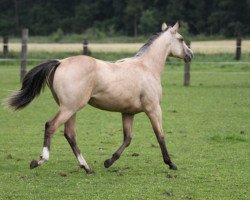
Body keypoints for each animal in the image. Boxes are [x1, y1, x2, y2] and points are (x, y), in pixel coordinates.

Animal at [5, 22, 193, 174]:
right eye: (181, 39)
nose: (190, 55)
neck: (146, 67)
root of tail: (60, 62)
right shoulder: (153, 109)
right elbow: (160, 135)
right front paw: (171, 164)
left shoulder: (128, 113)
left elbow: (127, 139)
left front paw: (109, 161)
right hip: (69, 108)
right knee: (51, 126)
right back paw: (39, 160)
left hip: (70, 109)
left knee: (70, 134)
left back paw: (87, 167)